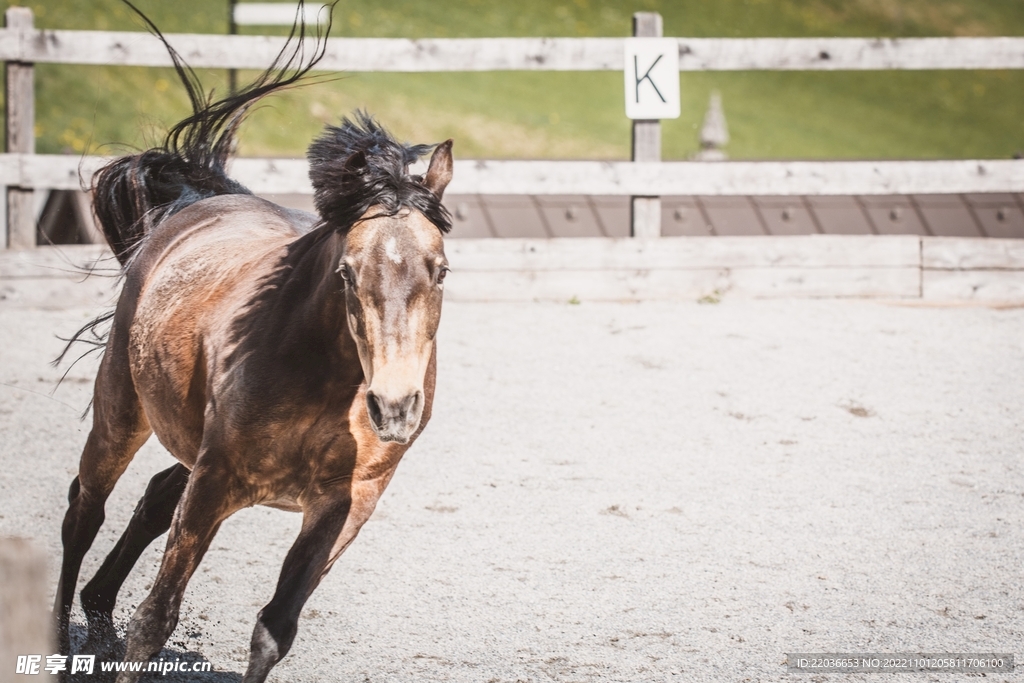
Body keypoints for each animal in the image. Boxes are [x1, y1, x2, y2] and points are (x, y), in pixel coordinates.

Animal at [51, 10, 452, 683]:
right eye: (347, 273)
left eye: (441, 270)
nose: (395, 408)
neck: (330, 386)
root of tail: (198, 204)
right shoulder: (215, 479)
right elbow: (156, 616)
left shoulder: (346, 505)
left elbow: (275, 629)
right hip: (122, 407)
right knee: (85, 510)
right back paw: (62, 641)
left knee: (153, 497)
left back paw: (99, 620)